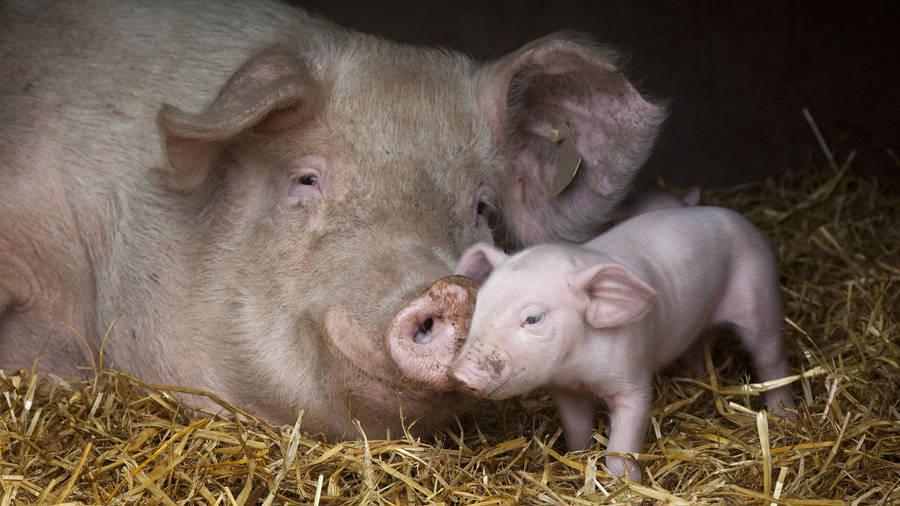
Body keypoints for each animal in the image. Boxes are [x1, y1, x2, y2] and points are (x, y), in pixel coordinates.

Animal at [451, 206, 794, 482]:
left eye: (533, 318)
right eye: (479, 304)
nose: (459, 374)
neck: (578, 369)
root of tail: (753, 229)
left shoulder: (633, 378)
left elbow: (623, 441)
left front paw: (623, 484)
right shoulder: (565, 389)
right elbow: (576, 427)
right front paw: (579, 457)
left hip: (760, 296)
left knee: (771, 360)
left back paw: (784, 416)